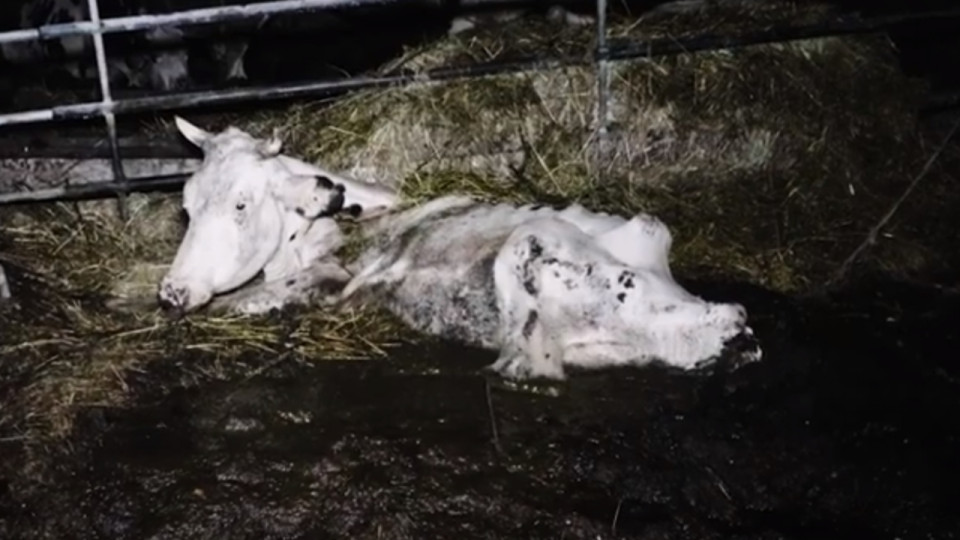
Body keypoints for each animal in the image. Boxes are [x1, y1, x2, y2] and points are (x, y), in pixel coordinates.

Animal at [157, 117, 761, 380]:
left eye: (240, 204)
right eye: (186, 203)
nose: (172, 292)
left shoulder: (329, 276)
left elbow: (254, 300)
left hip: (532, 250)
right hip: (642, 245)